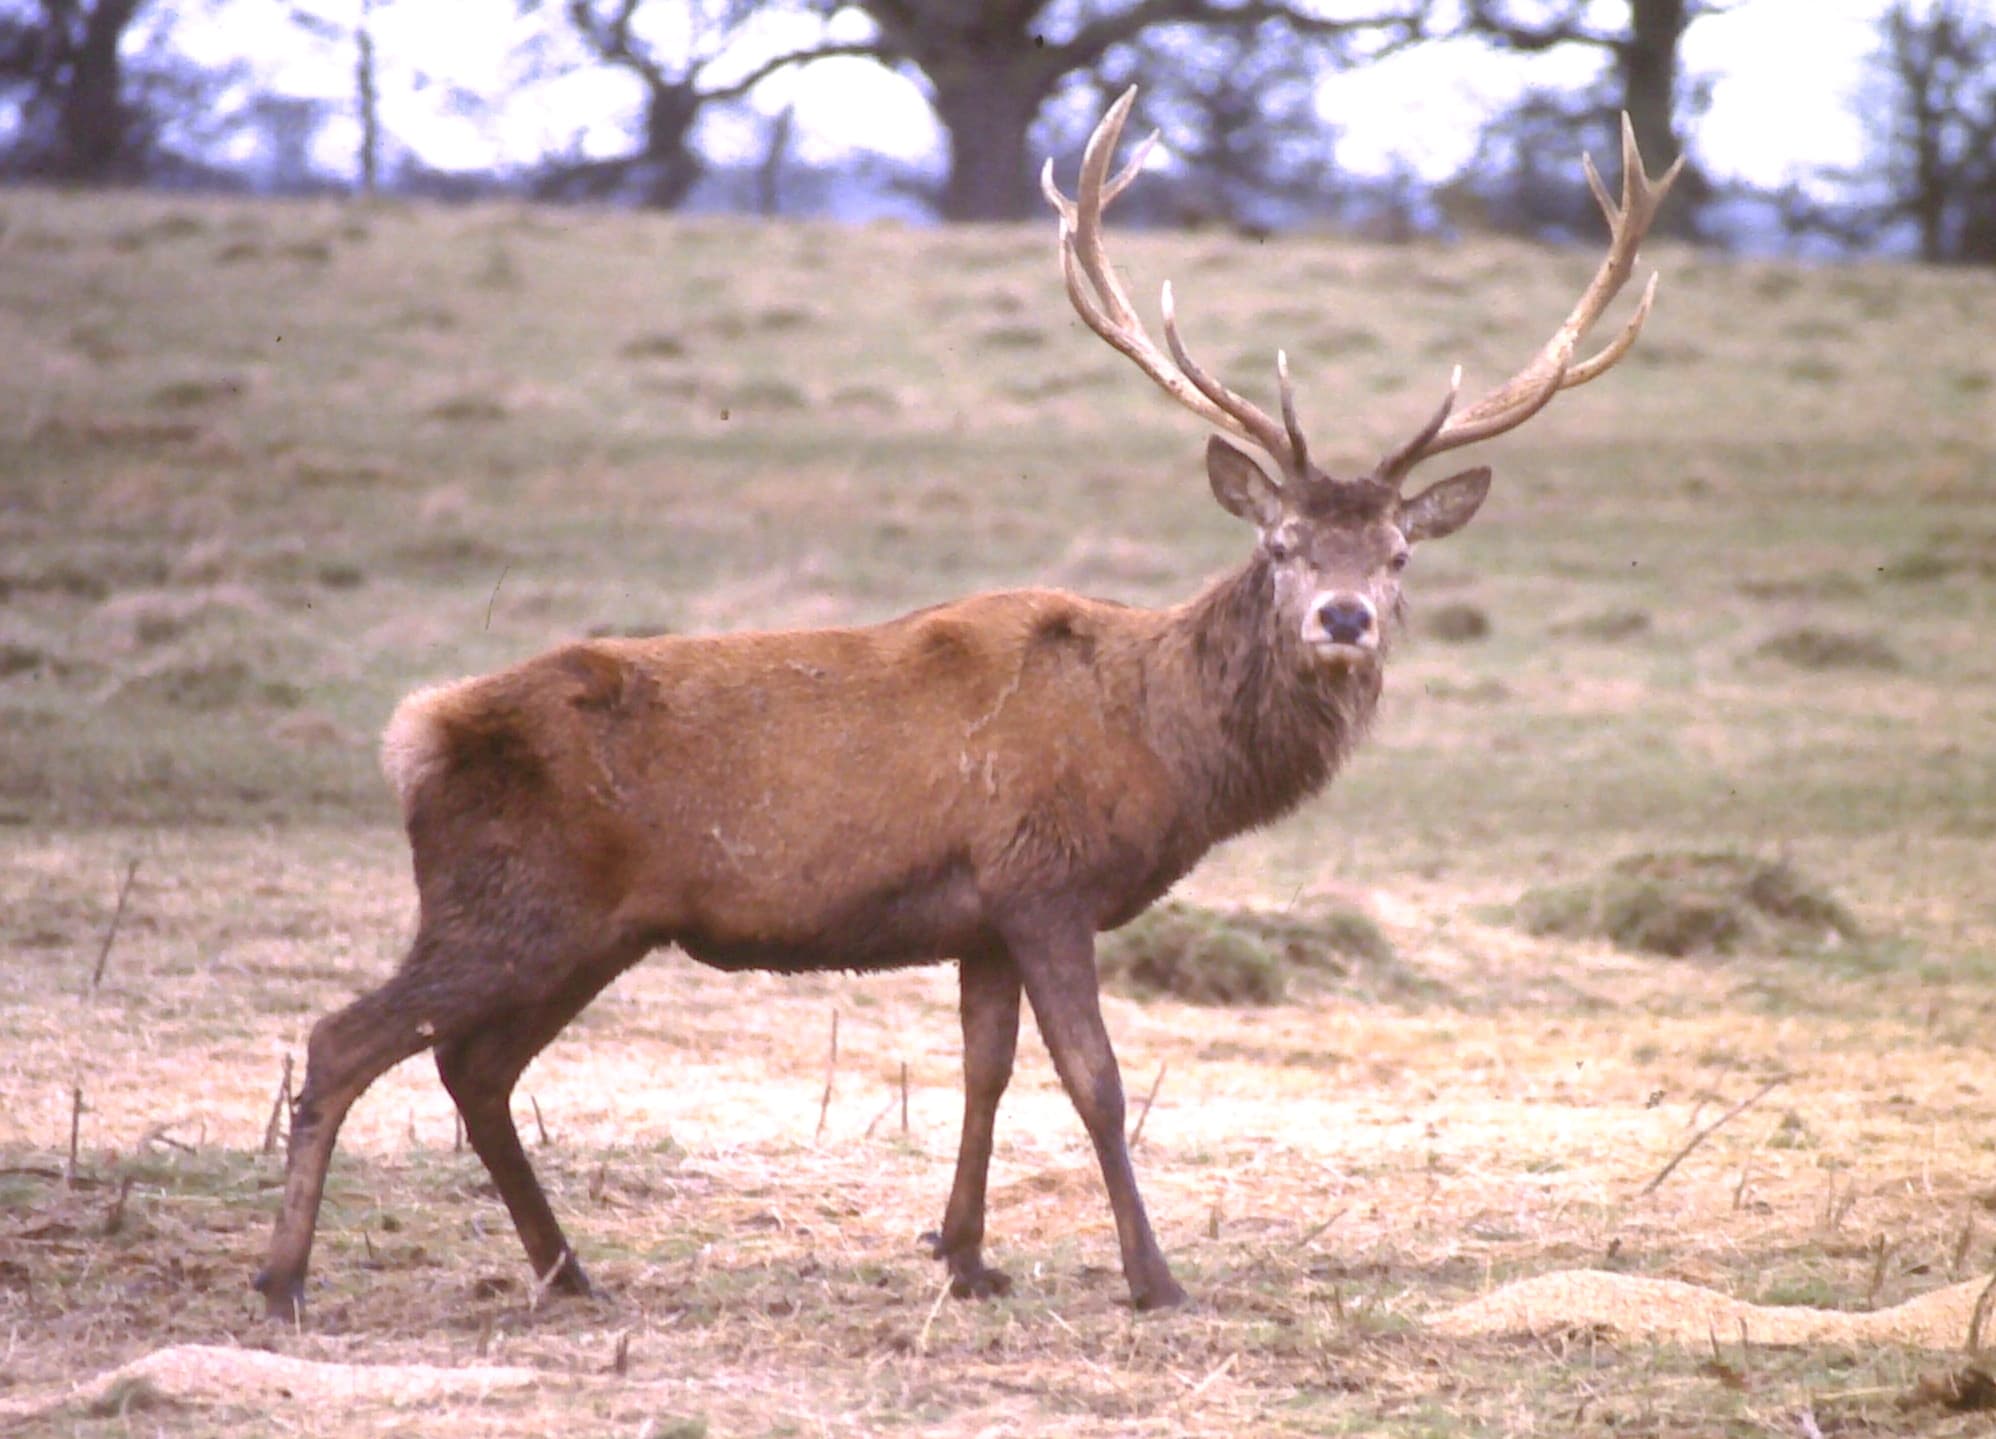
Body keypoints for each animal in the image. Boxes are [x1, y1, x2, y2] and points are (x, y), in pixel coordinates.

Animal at [254, 87, 1678, 1322]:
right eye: (1279, 544)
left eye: (1395, 555)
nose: (1342, 619)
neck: (1160, 745)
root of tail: (416, 732)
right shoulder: (1045, 877)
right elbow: (1097, 1080)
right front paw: (1154, 1277)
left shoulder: (981, 915)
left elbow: (985, 1071)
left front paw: (965, 1256)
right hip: (509, 897)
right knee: (344, 1039)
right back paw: (284, 1278)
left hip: (594, 924)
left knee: (473, 1066)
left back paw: (568, 1273)